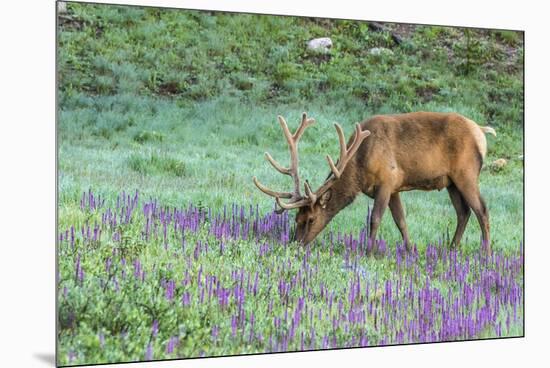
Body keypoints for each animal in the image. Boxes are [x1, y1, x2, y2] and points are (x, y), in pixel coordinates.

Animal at [254, 111, 500, 253]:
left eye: (311, 219)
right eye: (297, 218)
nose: (295, 243)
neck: (359, 167)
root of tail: (481, 131)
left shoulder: (386, 181)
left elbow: (376, 219)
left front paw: (369, 252)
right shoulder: (395, 188)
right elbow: (401, 220)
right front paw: (410, 250)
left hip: (466, 173)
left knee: (482, 210)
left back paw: (485, 254)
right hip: (450, 182)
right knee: (463, 212)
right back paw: (451, 249)